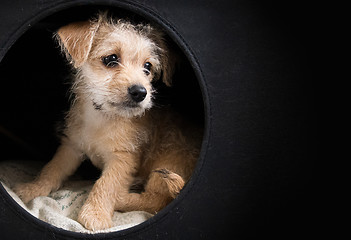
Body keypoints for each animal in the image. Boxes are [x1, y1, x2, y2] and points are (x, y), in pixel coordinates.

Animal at [13, 13, 202, 231]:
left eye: (147, 66)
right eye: (111, 59)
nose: (140, 93)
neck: (103, 116)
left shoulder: (123, 159)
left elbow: (106, 184)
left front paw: (95, 213)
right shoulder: (71, 147)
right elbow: (51, 169)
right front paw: (33, 188)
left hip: (166, 165)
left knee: (156, 200)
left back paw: (122, 199)